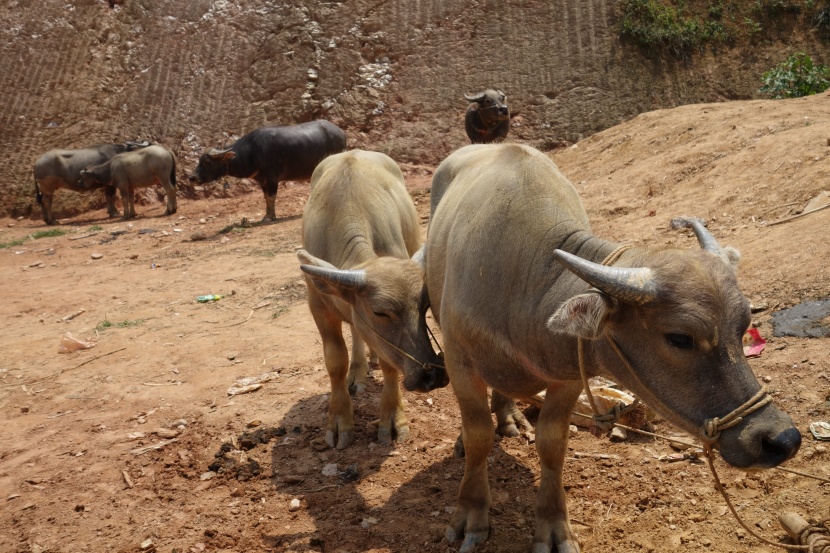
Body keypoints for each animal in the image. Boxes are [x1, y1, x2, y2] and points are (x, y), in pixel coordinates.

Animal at [189, 121, 348, 222]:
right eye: (199, 161)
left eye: (206, 162)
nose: (192, 178)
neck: (252, 152)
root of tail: (341, 133)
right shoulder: (261, 180)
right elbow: (266, 197)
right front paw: (269, 214)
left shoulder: (272, 177)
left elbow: (271, 196)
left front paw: (269, 217)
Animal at [296, 150, 446, 448]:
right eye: (380, 312)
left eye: (424, 307)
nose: (431, 374)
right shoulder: (318, 305)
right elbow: (335, 362)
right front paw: (339, 420)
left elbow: (389, 364)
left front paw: (393, 418)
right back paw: (358, 370)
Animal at [426, 143, 804, 552]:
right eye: (680, 337)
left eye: (743, 327)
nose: (781, 439)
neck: (522, 289)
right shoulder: (459, 360)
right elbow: (479, 436)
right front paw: (470, 516)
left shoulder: (568, 376)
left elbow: (553, 444)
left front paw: (554, 527)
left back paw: (509, 416)